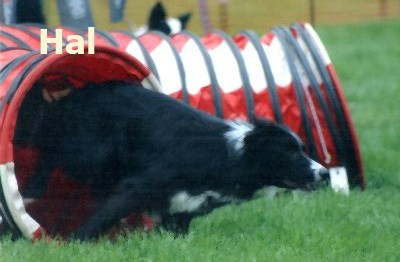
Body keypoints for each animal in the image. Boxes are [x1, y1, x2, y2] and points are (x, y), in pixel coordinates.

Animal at [14, 81, 328, 241]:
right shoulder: (139, 187)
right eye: (291, 152)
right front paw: (73, 241)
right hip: (88, 153)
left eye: (303, 148)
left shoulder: (180, 211)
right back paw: (30, 192)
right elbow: (100, 218)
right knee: (49, 149)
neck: (229, 157)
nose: (325, 174)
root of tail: (71, 97)